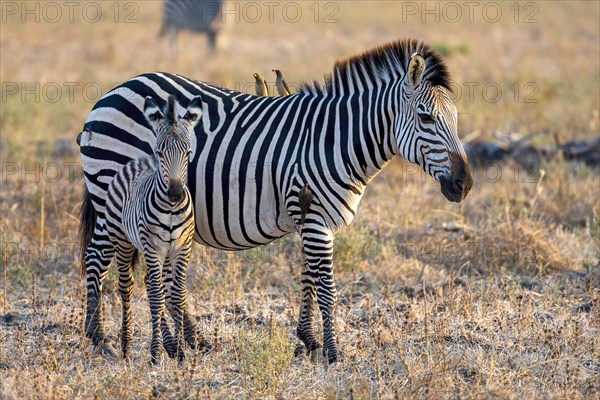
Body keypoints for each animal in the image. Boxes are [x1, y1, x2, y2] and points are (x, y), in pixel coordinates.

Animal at [84, 95, 203, 364]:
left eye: (189, 153)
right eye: (159, 152)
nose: (175, 194)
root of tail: (133, 163)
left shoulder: (182, 247)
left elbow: (177, 295)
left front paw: (181, 352)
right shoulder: (152, 247)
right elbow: (158, 297)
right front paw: (156, 353)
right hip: (122, 239)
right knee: (124, 285)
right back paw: (123, 345)